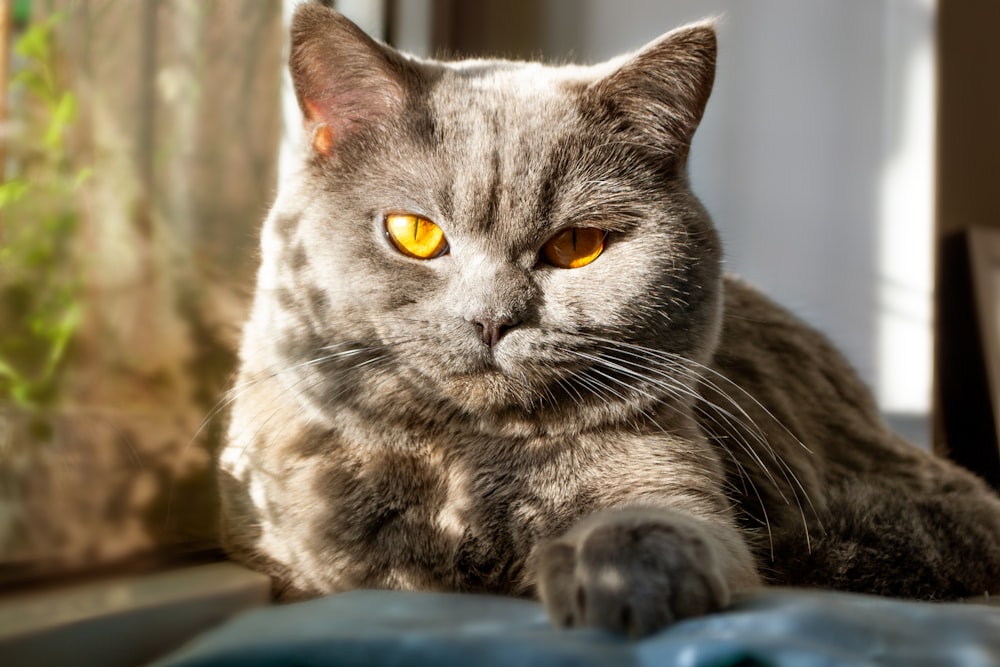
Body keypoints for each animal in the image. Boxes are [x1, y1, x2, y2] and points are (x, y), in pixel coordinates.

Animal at [219, 2, 1000, 636]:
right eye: (413, 233)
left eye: (577, 246)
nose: (492, 318)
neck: (472, 466)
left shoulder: (673, 466)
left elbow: (668, 515)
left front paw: (628, 572)